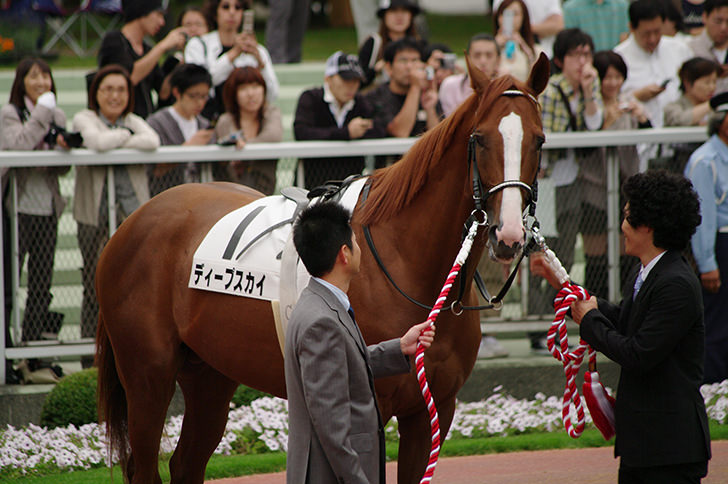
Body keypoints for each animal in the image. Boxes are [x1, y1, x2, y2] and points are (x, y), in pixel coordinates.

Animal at [96, 54, 548, 482]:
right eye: (479, 139)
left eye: (540, 140)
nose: (508, 234)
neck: (408, 263)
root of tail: (130, 225)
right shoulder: (369, 407)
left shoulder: (432, 410)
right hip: (148, 375)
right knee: (144, 467)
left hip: (209, 373)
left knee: (186, 465)